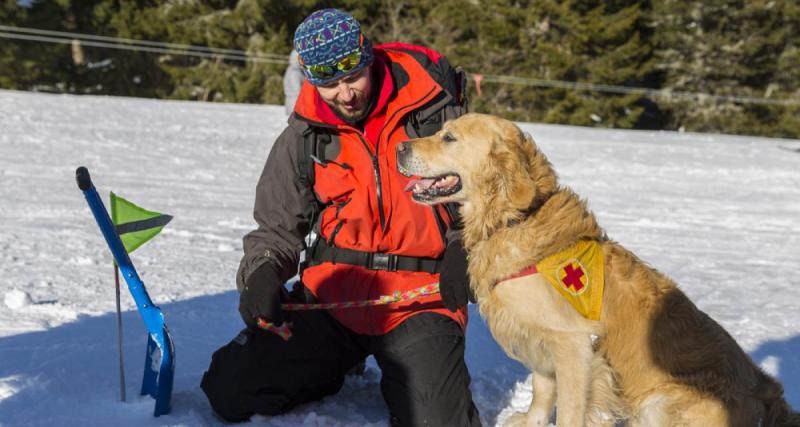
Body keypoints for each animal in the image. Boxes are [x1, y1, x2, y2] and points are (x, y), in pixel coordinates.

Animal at [396, 113, 796, 427]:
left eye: (449, 137)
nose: (400, 147)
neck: (514, 219)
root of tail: (767, 399)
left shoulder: (575, 345)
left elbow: (571, 409)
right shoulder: (540, 338)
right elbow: (542, 391)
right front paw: (531, 420)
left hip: (661, 400)